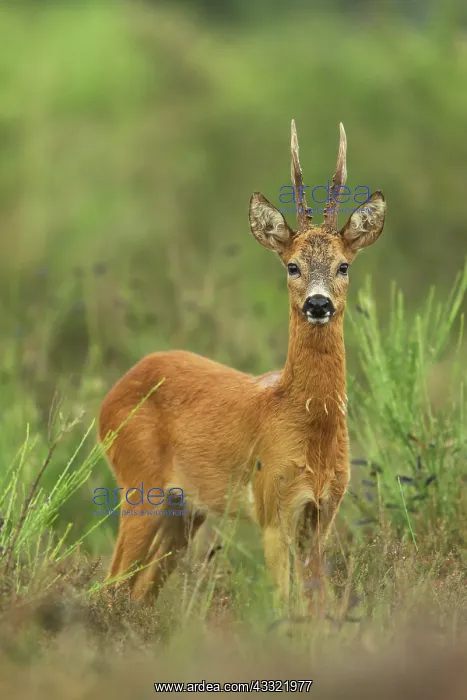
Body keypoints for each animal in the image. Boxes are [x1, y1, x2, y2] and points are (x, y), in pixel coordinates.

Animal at [98, 120, 386, 604]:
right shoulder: (273, 507)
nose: (318, 304)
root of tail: (111, 395)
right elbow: (285, 604)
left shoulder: (323, 513)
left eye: (344, 266)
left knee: (139, 591)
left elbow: (318, 606)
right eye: (292, 265)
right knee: (110, 581)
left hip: (184, 510)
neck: (310, 427)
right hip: (139, 486)